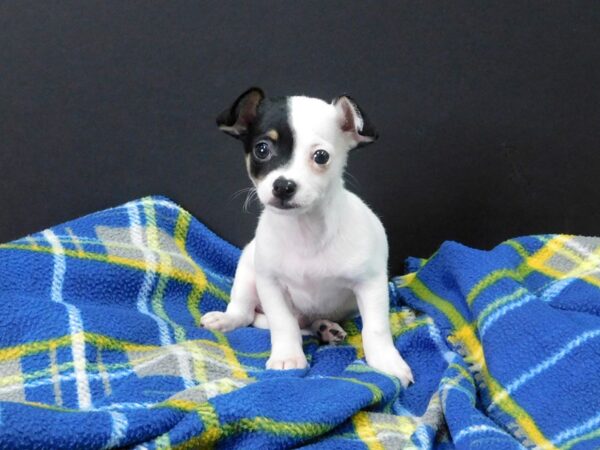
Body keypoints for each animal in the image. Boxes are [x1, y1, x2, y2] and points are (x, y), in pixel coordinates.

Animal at [200, 87, 412, 386]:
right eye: (261, 149)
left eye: (321, 156)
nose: (283, 186)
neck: (305, 231)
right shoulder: (271, 285)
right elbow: (283, 324)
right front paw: (288, 357)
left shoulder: (371, 285)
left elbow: (376, 329)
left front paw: (386, 362)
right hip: (247, 275)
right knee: (245, 313)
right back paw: (226, 319)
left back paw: (325, 327)